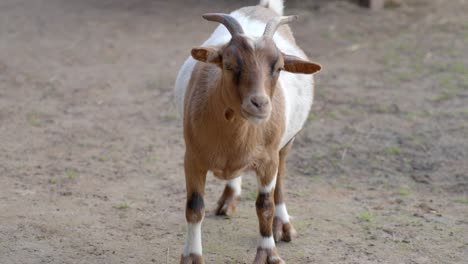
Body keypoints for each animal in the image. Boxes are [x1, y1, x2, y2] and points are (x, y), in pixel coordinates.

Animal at [174, 1, 320, 262]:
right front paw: (191, 256)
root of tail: (263, 7)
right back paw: (229, 199)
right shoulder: (192, 158)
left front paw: (268, 254)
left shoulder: (268, 160)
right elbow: (194, 207)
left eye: (279, 68)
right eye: (229, 65)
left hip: (285, 145)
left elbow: (265, 206)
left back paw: (283, 227)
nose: (259, 104)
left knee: (279, 184)